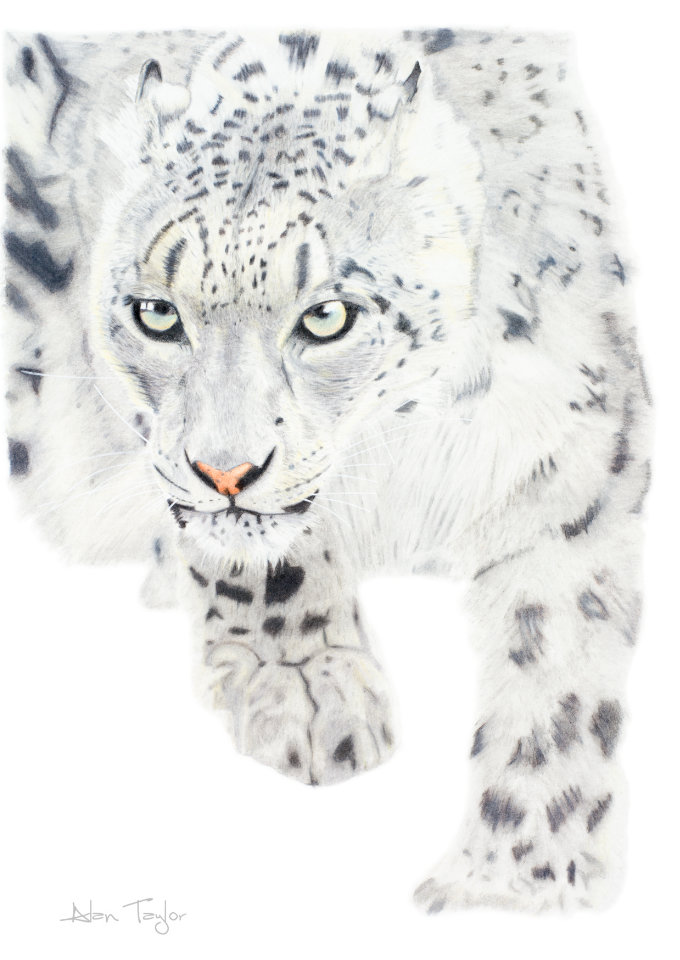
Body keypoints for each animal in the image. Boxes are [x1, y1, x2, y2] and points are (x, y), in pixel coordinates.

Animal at [3, 28, 650, 913]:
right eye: (157, 313)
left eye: (328, 316)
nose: (225, 471)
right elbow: (263, 560)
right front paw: (305, 689)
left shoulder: (577, 456)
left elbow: (561, 667)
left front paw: (517, 878)